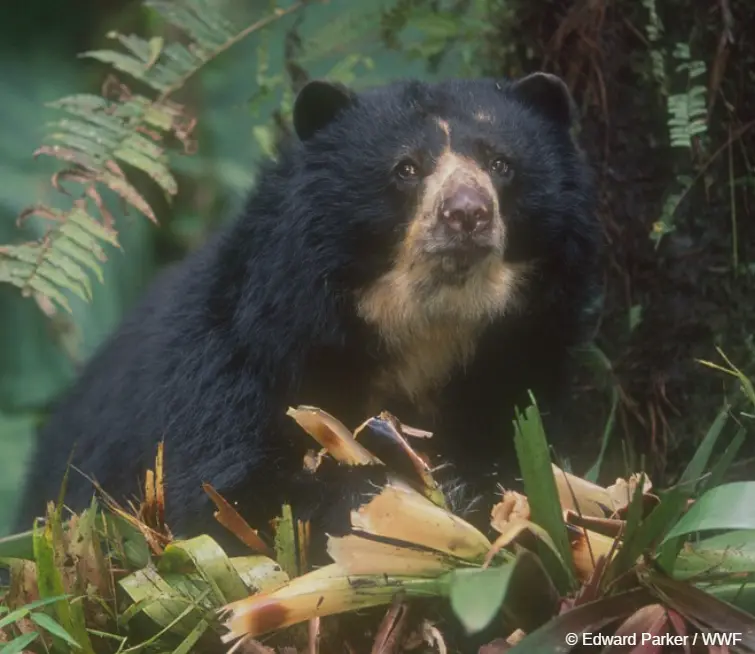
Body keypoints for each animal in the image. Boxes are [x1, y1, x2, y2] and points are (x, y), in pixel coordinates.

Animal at [14, 73, 604, 548]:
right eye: (406, 168)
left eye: (502, 164)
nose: (467, 214)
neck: (425, 326)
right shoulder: (237, 361)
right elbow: (226, 499)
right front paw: (395, 501)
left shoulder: (520, 357)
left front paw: (479, 489)